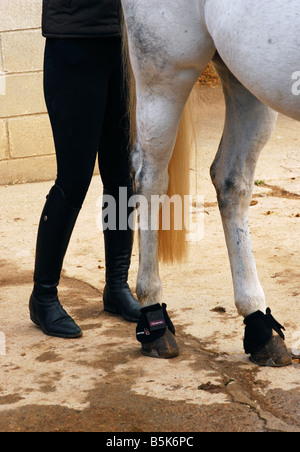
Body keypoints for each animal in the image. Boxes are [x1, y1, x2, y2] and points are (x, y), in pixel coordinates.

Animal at [120, 0, 298, 366]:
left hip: (246, 79)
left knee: (231, 181)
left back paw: (260, 326)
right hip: (165, 73)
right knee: (150, 178)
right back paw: (154, 317)